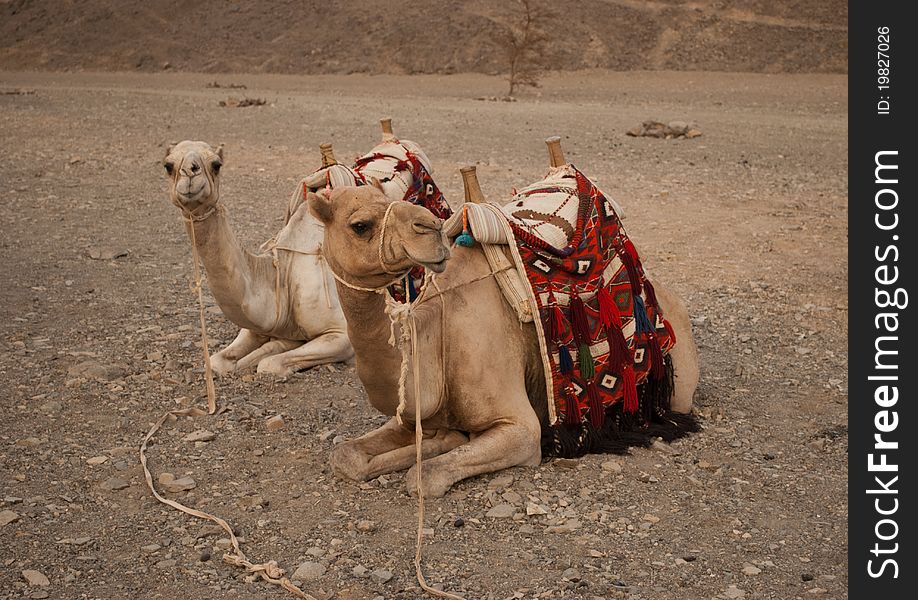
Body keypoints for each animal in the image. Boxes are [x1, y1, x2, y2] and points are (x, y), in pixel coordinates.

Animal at [164, 141, 354, 376]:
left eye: (216, 165)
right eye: (168, 165)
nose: (189, 172)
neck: (284, 275)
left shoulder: (341, 335)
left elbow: (268, 364)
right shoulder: (257, 326)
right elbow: (217, 361)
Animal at [310, 171, 696, 494]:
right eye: (360, 225)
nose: (430, 227)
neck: (438, 335)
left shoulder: (521, 428)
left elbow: (425, 476)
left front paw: (442, 446)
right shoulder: (412, 417)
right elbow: (345, 456)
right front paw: (441, 439)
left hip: (676, 384)